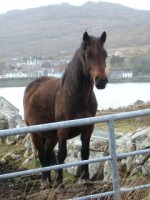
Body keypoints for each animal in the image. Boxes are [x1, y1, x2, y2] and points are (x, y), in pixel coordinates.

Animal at [23, 31, 108, 189]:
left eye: (105, 54)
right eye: (88, 54)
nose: (101, 81)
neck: (76, 96)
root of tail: (31, 87)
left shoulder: (88, 128)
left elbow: (85, 153)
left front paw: (86, 180)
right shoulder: (63, 130)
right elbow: (62, 154)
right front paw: (59, 182)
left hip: (51, 136)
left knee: (48, 152)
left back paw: (49, 180)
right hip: (35, 133)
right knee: (42, 154)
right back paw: (45, 182)